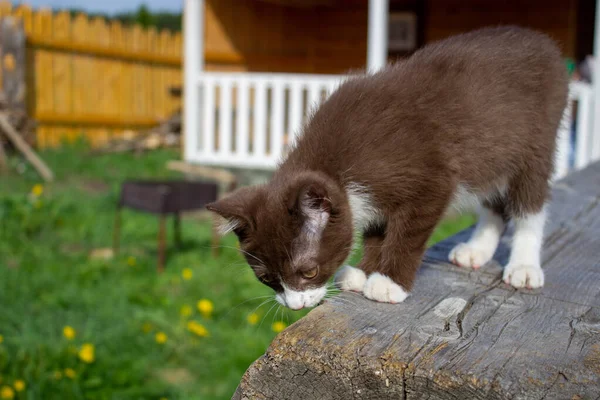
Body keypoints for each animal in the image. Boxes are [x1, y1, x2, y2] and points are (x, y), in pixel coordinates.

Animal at [209, 26, 568, 310]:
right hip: (493, 152)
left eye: (308, 272)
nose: (295, 305)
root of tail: (543, 41)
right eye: (267, 279)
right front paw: (365, 271)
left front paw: (388, 282)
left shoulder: (431, 175)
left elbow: (406, 233)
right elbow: (376, 228)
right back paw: (477, 250)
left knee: (530, 198)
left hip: (536, 137)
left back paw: (524, 265)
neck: (337, 163)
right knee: (495, 196)